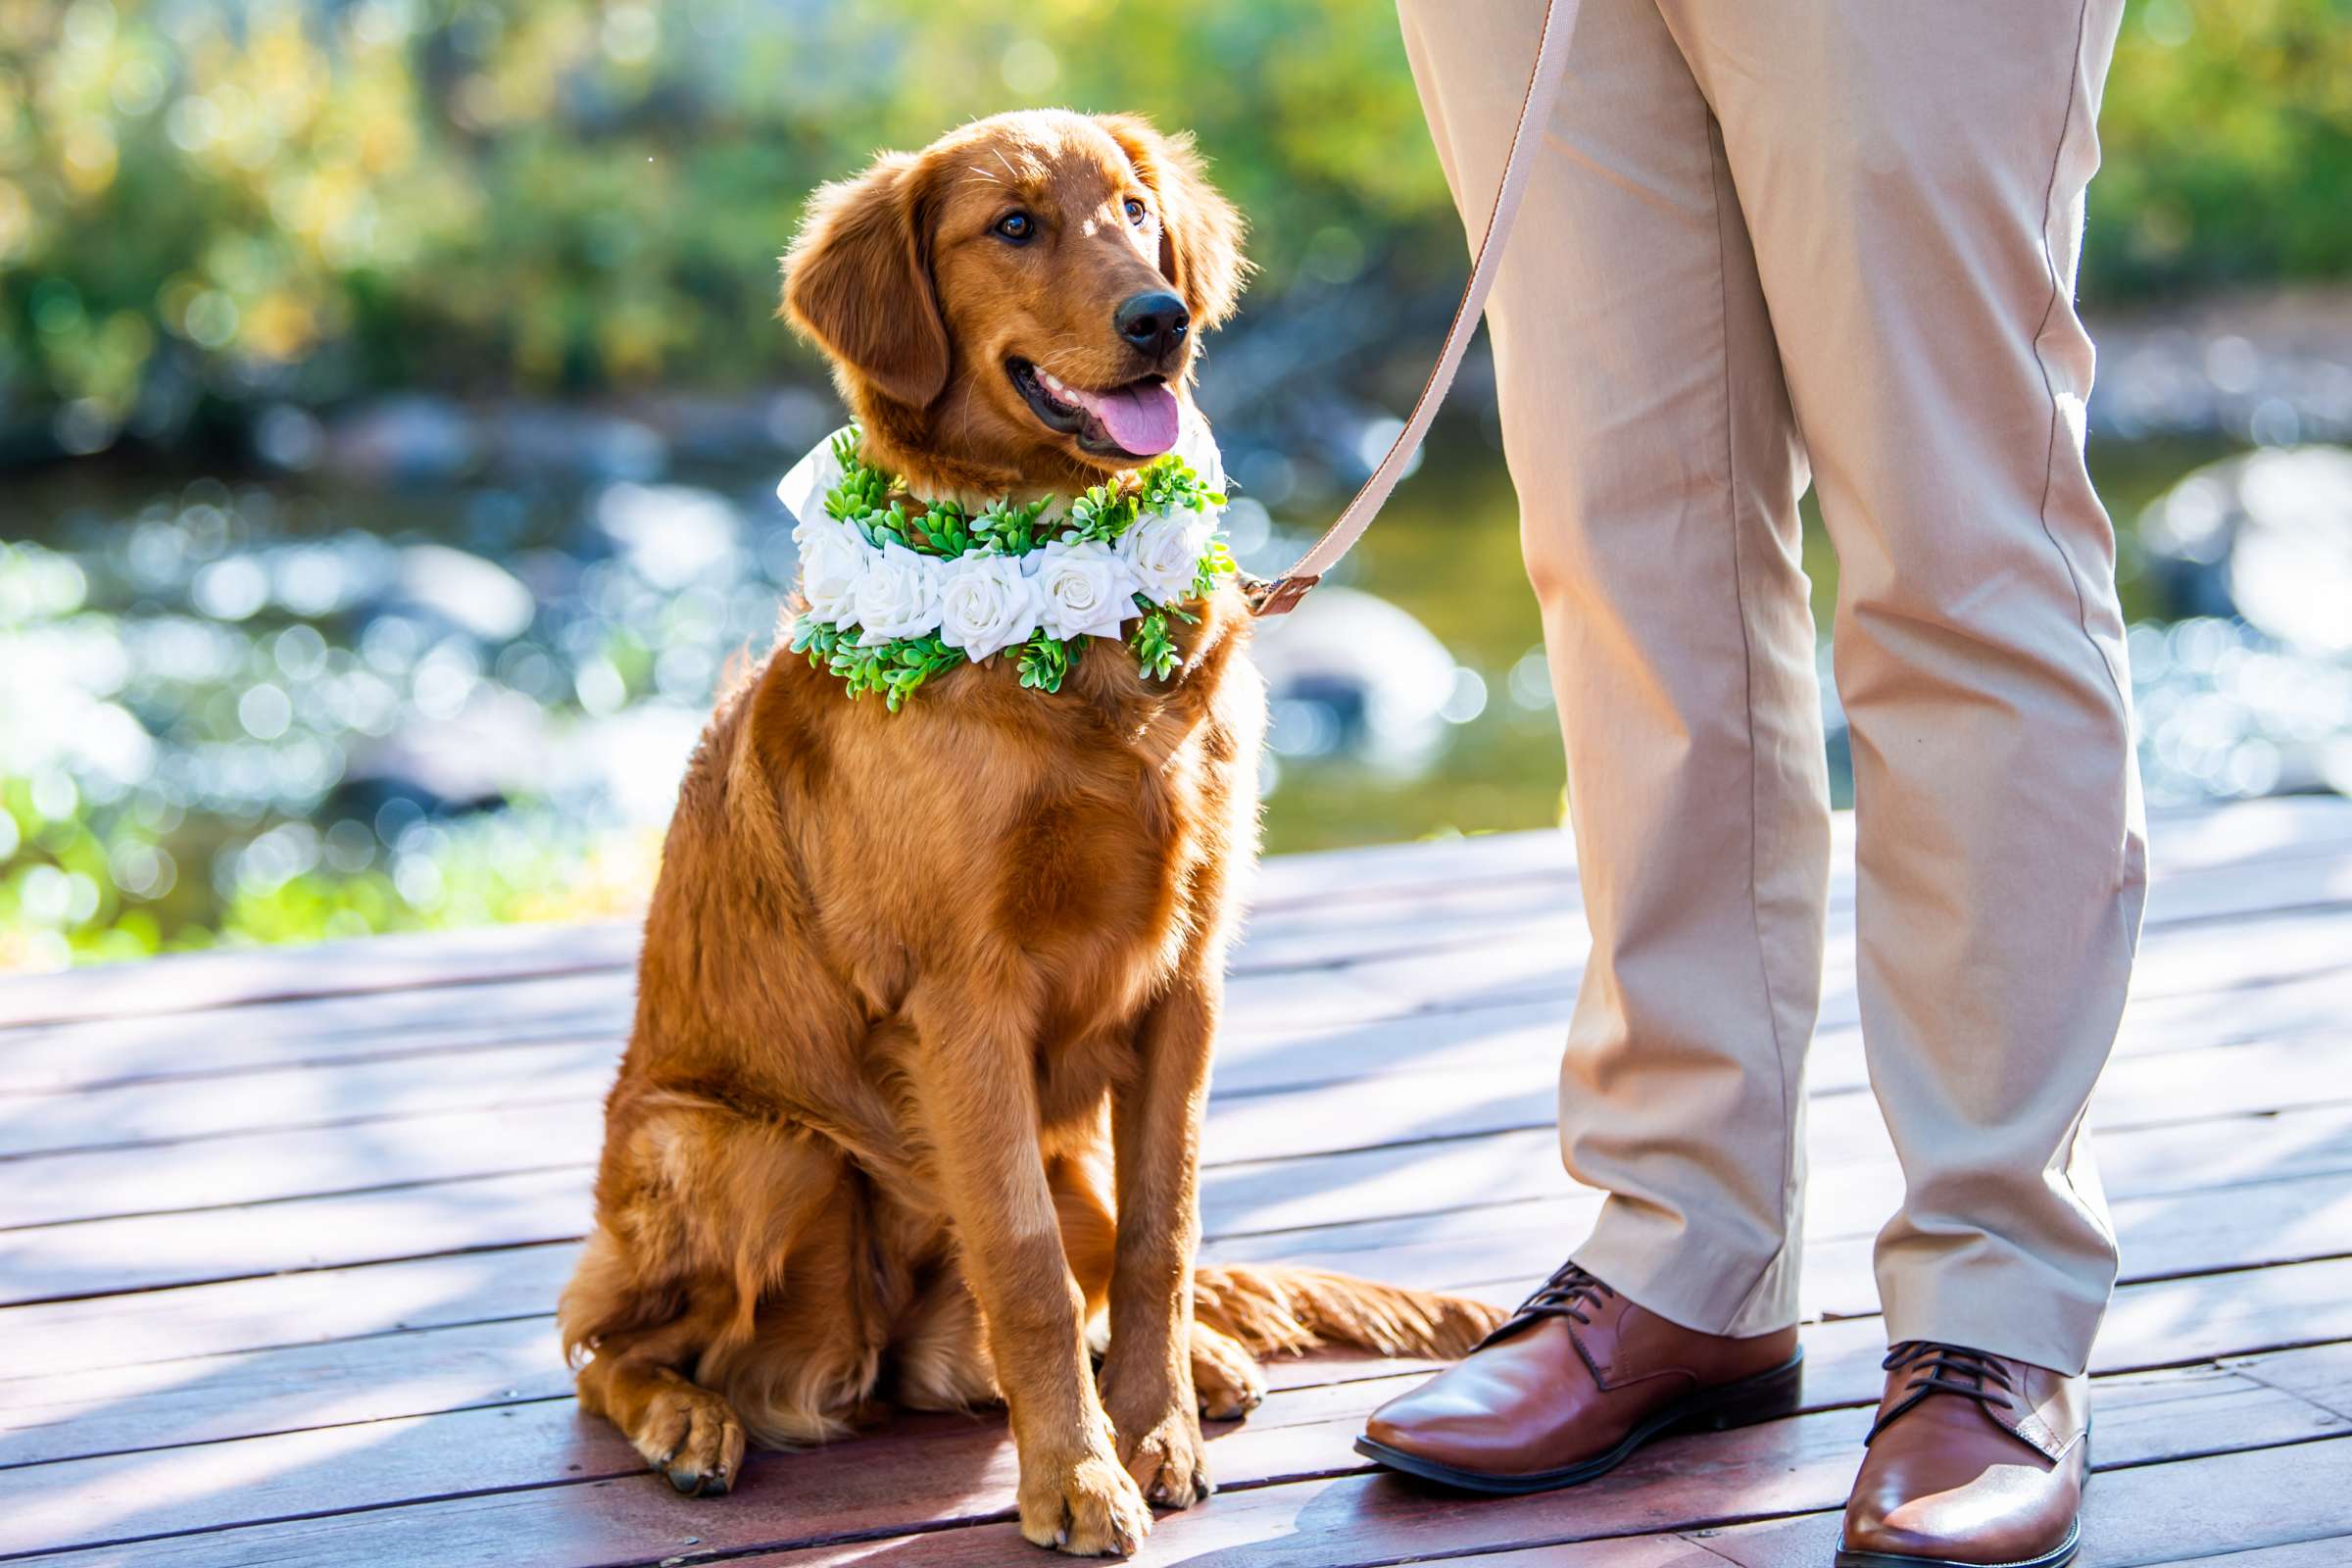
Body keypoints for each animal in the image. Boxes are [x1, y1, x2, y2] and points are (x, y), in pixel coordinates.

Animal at [555, 110, 1486, 1560]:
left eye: (1134, 210)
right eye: (1011, 226)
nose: (1161, 318)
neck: (1074, 630)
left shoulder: (1185, 984)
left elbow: (1164, 1234)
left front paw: (1152, 1429)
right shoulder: (963, 1000)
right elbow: (1028, 1264)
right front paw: (1077, 1477)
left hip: (1045, 1146)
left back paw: (1198, 1362)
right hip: (741, 1147)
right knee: (601, 1345)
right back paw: (687, 1421)